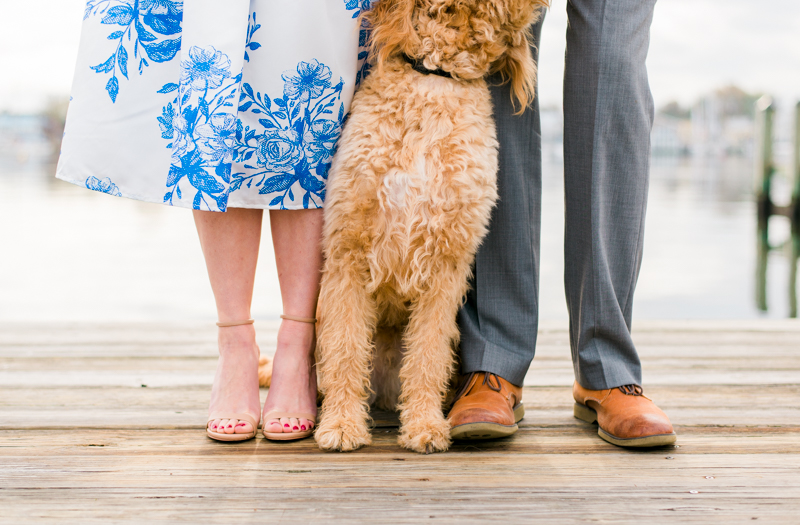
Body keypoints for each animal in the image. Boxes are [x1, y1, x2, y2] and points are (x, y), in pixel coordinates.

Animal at [316, 0, 548, 452]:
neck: (436, 78)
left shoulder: (447, 263)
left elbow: (428, 352)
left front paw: (424, 425)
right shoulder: (348, 252)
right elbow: (345, 347)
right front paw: (341, 423)